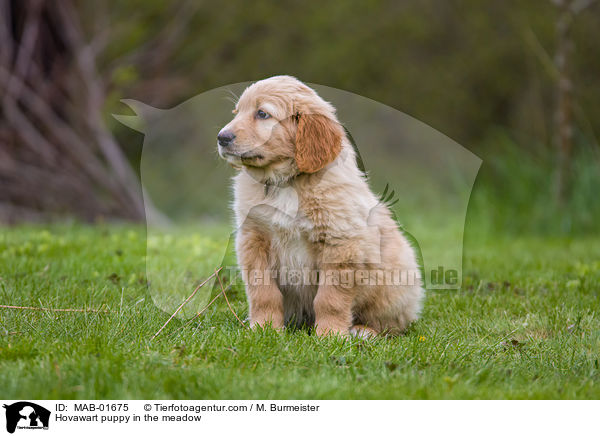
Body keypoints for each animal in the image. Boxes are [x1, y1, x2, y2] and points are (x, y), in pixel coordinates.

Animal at [218, 75, 424, 336]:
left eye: (262, 114)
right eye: (237, 112)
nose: (221, 138)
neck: (287, 183)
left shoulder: (339, 242)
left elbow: (330, 298)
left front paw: (330, 335)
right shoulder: (254, 240)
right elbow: (262, 292)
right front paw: (265, 328)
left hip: (394, 283)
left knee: (390, 323)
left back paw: (364, 331)